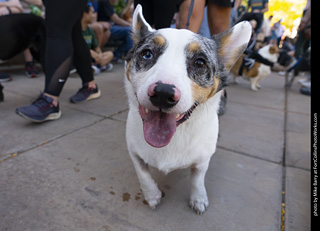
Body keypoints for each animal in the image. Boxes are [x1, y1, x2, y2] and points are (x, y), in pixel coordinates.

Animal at [124, 4, 251, 215]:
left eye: (199, 62)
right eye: (147, 54)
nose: (163, 93)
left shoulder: (202, 159)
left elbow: (197, 179)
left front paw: (198, 198)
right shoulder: (134, 151)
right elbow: (143, 173)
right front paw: (152, 195)